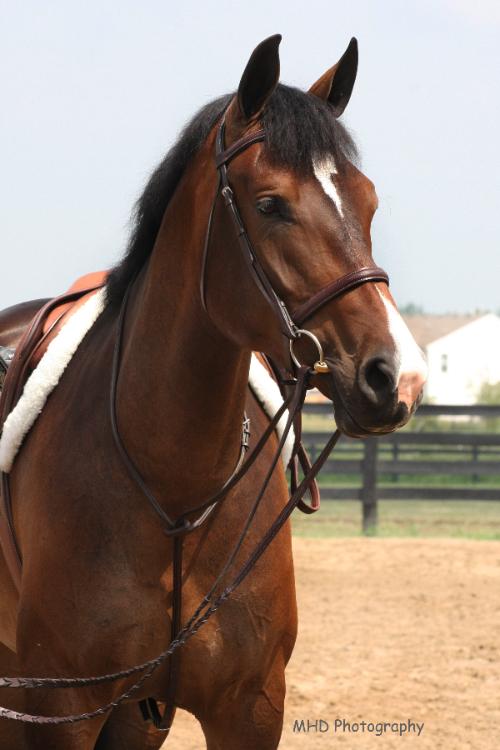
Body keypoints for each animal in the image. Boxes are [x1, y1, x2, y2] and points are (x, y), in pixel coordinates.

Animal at [0, 35, 426, 749]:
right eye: (270, 204)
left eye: (368, 201)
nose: (399, 376)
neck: (176, 491)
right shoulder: (57, 709)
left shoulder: (248, 708)